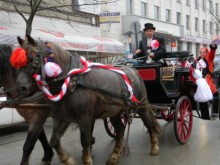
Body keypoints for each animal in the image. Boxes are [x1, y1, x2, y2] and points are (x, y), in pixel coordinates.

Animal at [12, 35, 162, 164]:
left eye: (35, 59)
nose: (20, 89)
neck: (71, 81)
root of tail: (134, 70)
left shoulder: (84, 117)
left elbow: (85, 140)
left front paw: (86, 159)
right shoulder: (62, 118)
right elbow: (54, 140)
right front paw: (67, 159)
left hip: (141, 105)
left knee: (148, 123)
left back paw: (154, 147)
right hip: (115, 111)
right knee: (120, 129)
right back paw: (115, 155)